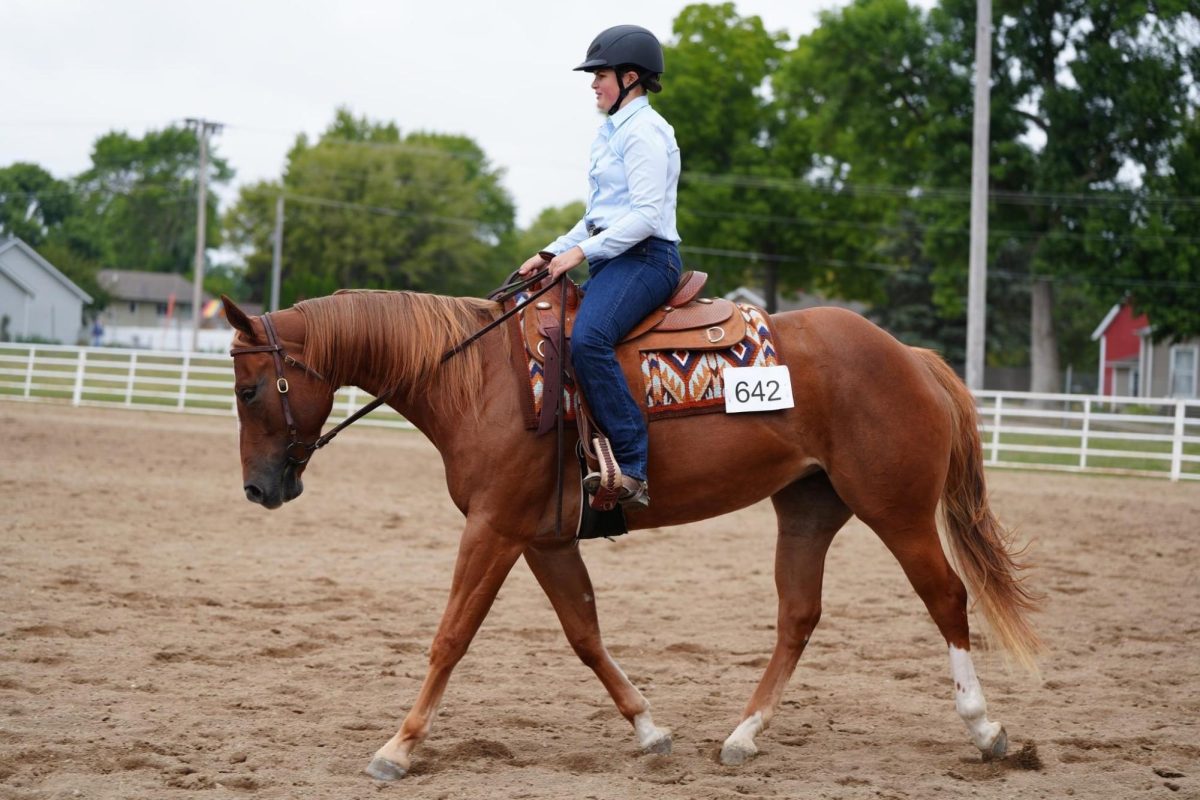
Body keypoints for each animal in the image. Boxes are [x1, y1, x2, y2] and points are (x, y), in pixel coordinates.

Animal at [223, 287, 1041, 782]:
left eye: (250, 388)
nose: (259, 490)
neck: (480, 381)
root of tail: (911, 357)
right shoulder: (544, 539)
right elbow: (584, 634)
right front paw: (648, 730)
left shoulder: (493, 529)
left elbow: (450, 635)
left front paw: (398, 746)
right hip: (808, 509)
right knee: (798, 616)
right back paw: (743, 735)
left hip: (895, 510)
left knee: (946, 598)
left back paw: (986, 730)